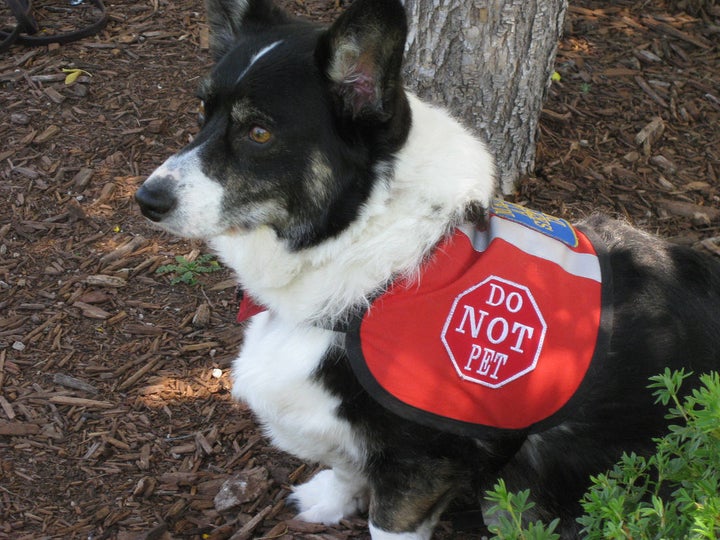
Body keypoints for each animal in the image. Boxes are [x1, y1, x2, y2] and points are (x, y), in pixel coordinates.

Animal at [135, 2, 720, 536]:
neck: (361, 235)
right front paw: (331, 500)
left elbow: (385, 516)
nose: (146, 200)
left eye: (258, 132)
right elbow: (345, 464)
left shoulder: (420, 466)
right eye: (203, 112)